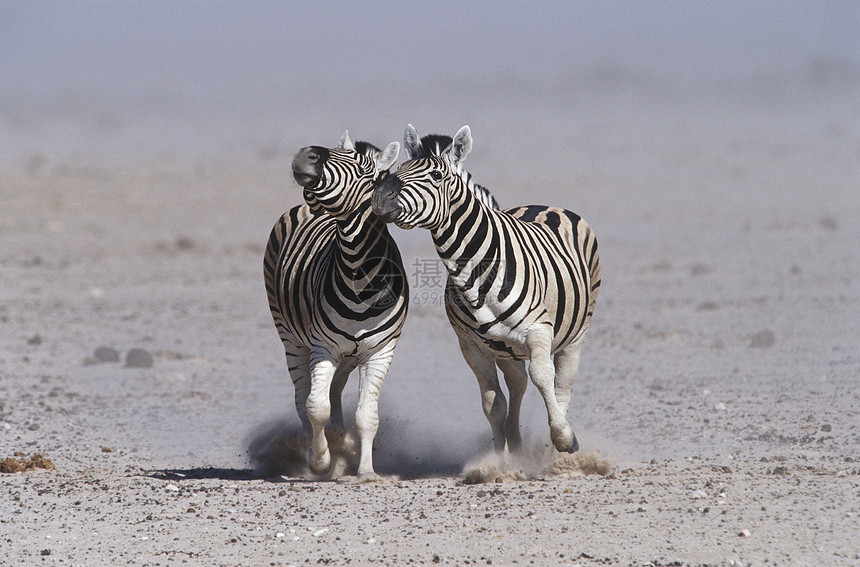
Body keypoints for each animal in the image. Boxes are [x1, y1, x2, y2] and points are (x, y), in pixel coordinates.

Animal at [264, 132, 408, 480]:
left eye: (360, 167)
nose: (307, 153)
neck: (359, 274)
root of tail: (305, 206)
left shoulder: (379, 351)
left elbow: (366, 414)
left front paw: (366, 471)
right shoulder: (322, 348)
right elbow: (315, 407)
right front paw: (319, 461)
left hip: (349, 355)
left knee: (335, 391)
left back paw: (341, 442)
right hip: (290, 337)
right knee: (302, 395)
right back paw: (311, 454)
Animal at [370, 125, 596, 458]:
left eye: (436, 176)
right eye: (400, 168)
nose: (379, 197)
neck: (475, 272)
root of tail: (543, 205)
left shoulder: (538, 331)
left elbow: (543, 377)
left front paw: (564, 438)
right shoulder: (470, 345)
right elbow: (493, 403)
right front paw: (499, 459)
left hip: (576, 335)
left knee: (561, 386)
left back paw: (557, 451)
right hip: (506, 349)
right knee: (517, 383)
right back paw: (517, 444)